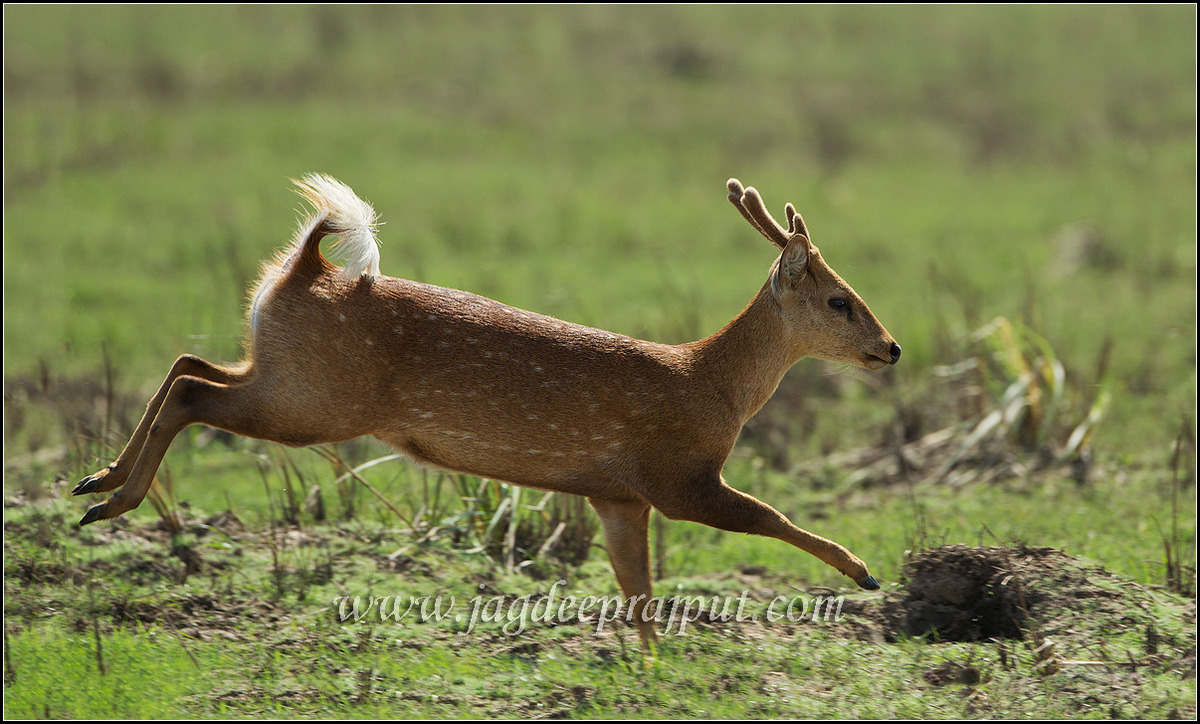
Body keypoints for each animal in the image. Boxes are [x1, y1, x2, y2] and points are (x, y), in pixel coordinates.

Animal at [73, 174, 900, 646]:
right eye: (840, 300)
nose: (890, 348)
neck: (709, 384)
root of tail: (303, 268)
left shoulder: (617, 494)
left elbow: (638, 593)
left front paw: (650, 668)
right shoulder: (677, 477)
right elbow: (769, 516)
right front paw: (862, 573)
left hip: (284, 375)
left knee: (188, 366)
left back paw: (97, 484)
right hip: (315, 402)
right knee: (192, 391)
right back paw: (112, 500)